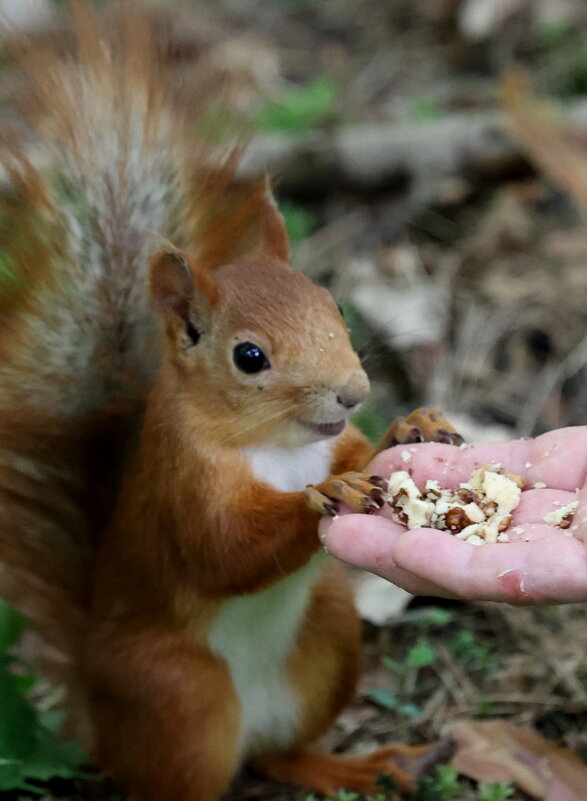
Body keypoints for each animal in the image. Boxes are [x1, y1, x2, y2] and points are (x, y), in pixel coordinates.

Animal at [0, 3, 464, 796]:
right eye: (250, 357)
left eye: (336, 306)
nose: (354, 391)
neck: (279, 447)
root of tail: (99, 716)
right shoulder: (183, 486)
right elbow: (224, 551)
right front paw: (326, 493)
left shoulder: (333, 439)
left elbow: (359, 447)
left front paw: (411, 424)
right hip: (181, 698)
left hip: (329, 636)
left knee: (282, 754)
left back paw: (367, 764)